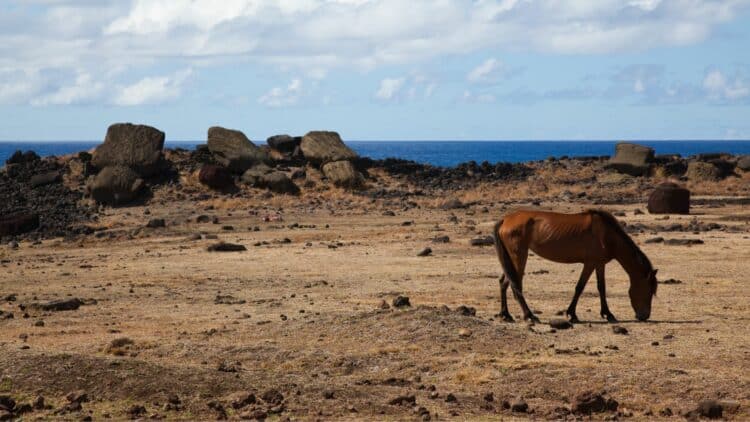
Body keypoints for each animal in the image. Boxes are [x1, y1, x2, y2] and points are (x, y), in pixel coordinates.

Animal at [492, 209, 658, 323]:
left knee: (503, 282)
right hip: (518, 257)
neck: (607, 235)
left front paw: (607, 314)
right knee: (515, 285)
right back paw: (529, 315)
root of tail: (505, 220)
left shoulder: (599, 264)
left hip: (510, 259)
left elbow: (601, 287)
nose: (644, 316)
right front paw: (572, 314)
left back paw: (506, 315)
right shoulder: (590, 263)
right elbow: (580, 287)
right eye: (649, 290)